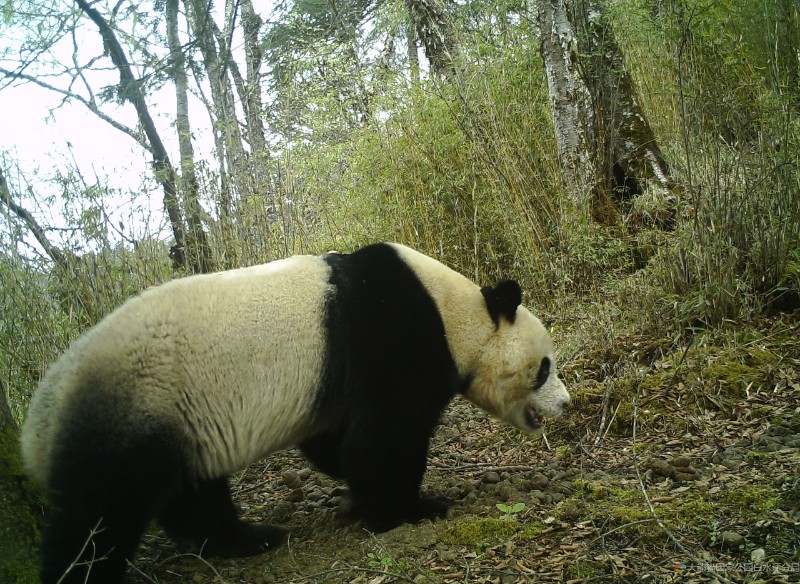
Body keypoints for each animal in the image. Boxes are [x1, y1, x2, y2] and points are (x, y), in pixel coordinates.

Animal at [20, 240, 568, 580]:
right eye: (545, 367)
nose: (567, 402)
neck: (456, 313)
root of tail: (34, 430)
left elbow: (337, 444)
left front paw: (353, 490)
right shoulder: (393, 335)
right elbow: (382, 440)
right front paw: (413, 509)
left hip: (178, 416)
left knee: (191, 494)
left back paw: (247, 538)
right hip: (133, 404)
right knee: (99, 514)